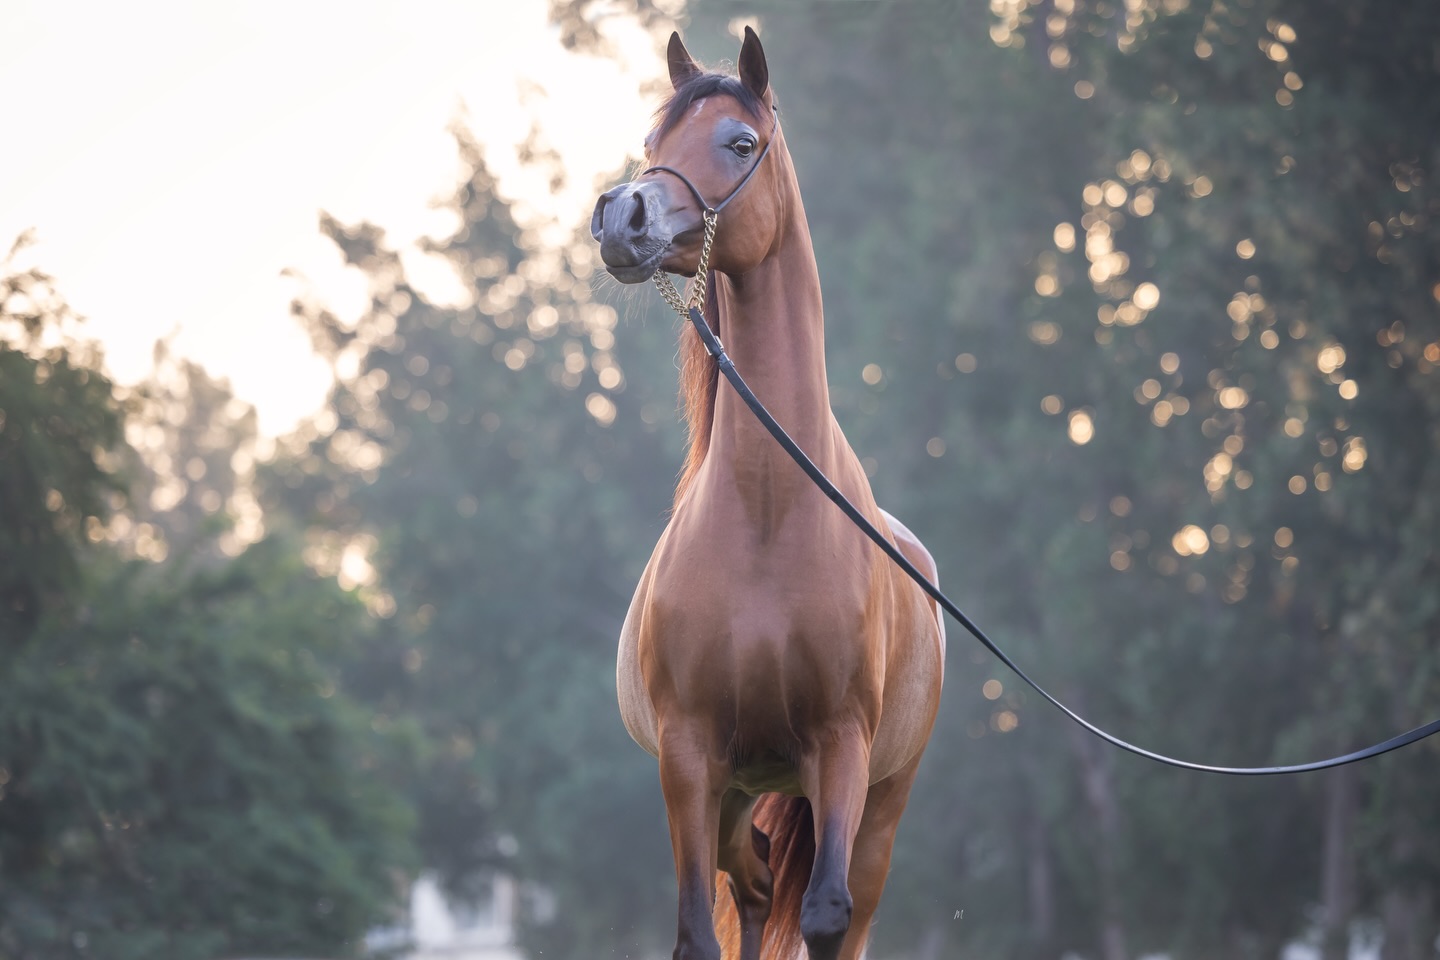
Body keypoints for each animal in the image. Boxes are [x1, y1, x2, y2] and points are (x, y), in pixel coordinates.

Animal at [591, 28, 946, 960]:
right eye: (654, 140)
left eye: (739, 141)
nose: (621, 216)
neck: (767, 517)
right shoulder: (689, 756)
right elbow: (695, 929)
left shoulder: (841, 746)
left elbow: (823, 914)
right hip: (735, 790)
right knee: (749, 887)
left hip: (877, 808)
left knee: (833, 910)